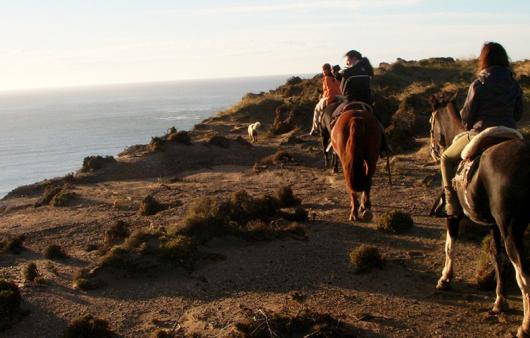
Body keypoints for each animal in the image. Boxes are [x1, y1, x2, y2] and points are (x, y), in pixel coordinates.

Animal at [428, 95, 528, 336]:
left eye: (430, 123)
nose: (433, 150)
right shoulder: (494, 225)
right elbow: (497, 257)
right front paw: (500, 301)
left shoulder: (453, 217)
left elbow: (449, 245)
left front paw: (445, 278)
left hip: (512, 232)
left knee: (524, 276)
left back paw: (525, 326)